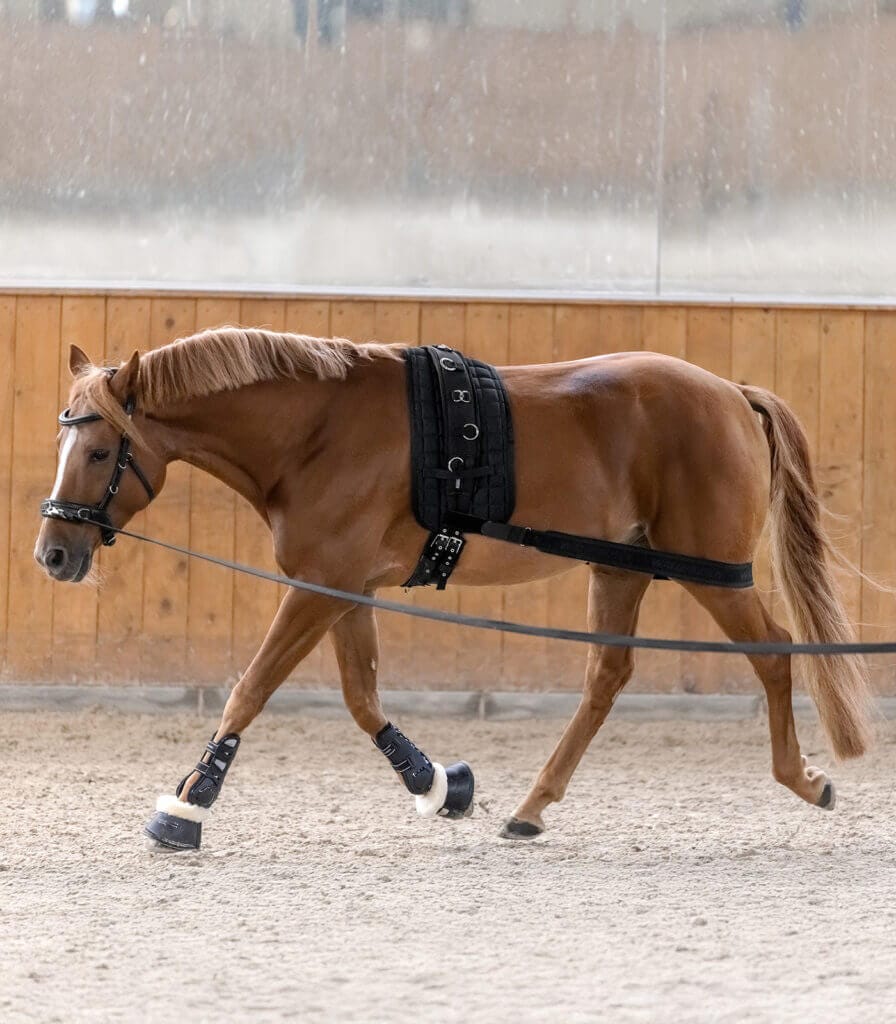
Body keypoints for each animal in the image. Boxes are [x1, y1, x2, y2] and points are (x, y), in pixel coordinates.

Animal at [34, 327, 874, 849]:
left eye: (101, 449)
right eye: (62, 441)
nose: (53, 553)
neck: (317, 431)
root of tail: (731, 393)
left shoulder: (320, 586)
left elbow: (252, 689)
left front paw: (189, 802)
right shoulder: (344, 588)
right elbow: (362, 697)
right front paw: (440, 784)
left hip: (713, 574)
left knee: (773, 653)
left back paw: (803, 780)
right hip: (620, 567)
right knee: (607, 677)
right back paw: (531, 809)